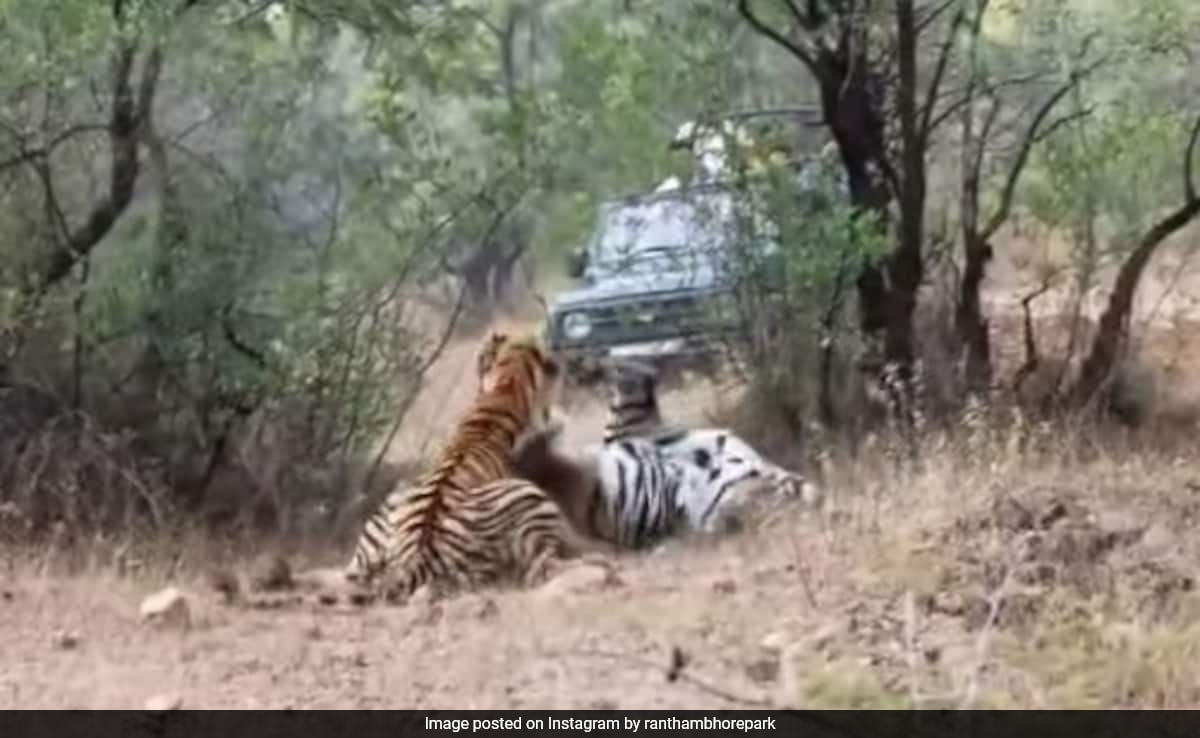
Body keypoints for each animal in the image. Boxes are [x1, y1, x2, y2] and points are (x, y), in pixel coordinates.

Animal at [345, 331, 609, 602]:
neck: (508, 384)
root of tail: (416, 559)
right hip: (529, 496)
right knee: (543, 570)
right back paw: (600, 563)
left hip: (390, 507)